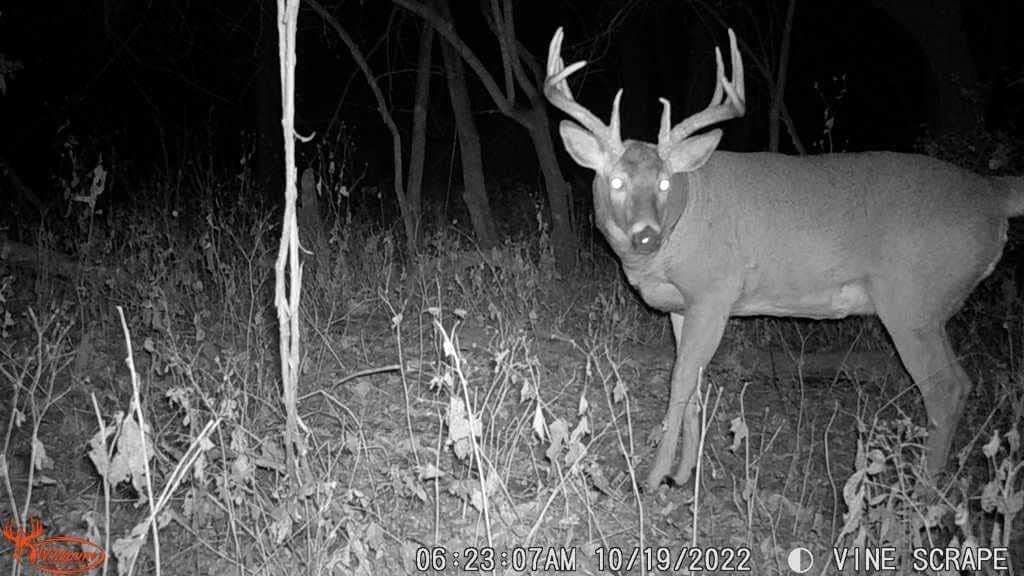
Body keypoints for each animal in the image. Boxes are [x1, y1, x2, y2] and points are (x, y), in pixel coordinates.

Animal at [544, 27, 1024, 491]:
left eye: (664, 182)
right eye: (617, 181)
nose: (646, 236)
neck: (684, 218)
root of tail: (992, 194)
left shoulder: (716, 293)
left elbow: (679, 381)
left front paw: (653, 477)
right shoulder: (681, 307)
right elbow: (694, 384)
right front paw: (682, 476)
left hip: (912, 300)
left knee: (945, 387)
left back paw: (921, 495)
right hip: (928, 308)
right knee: (961, 383)